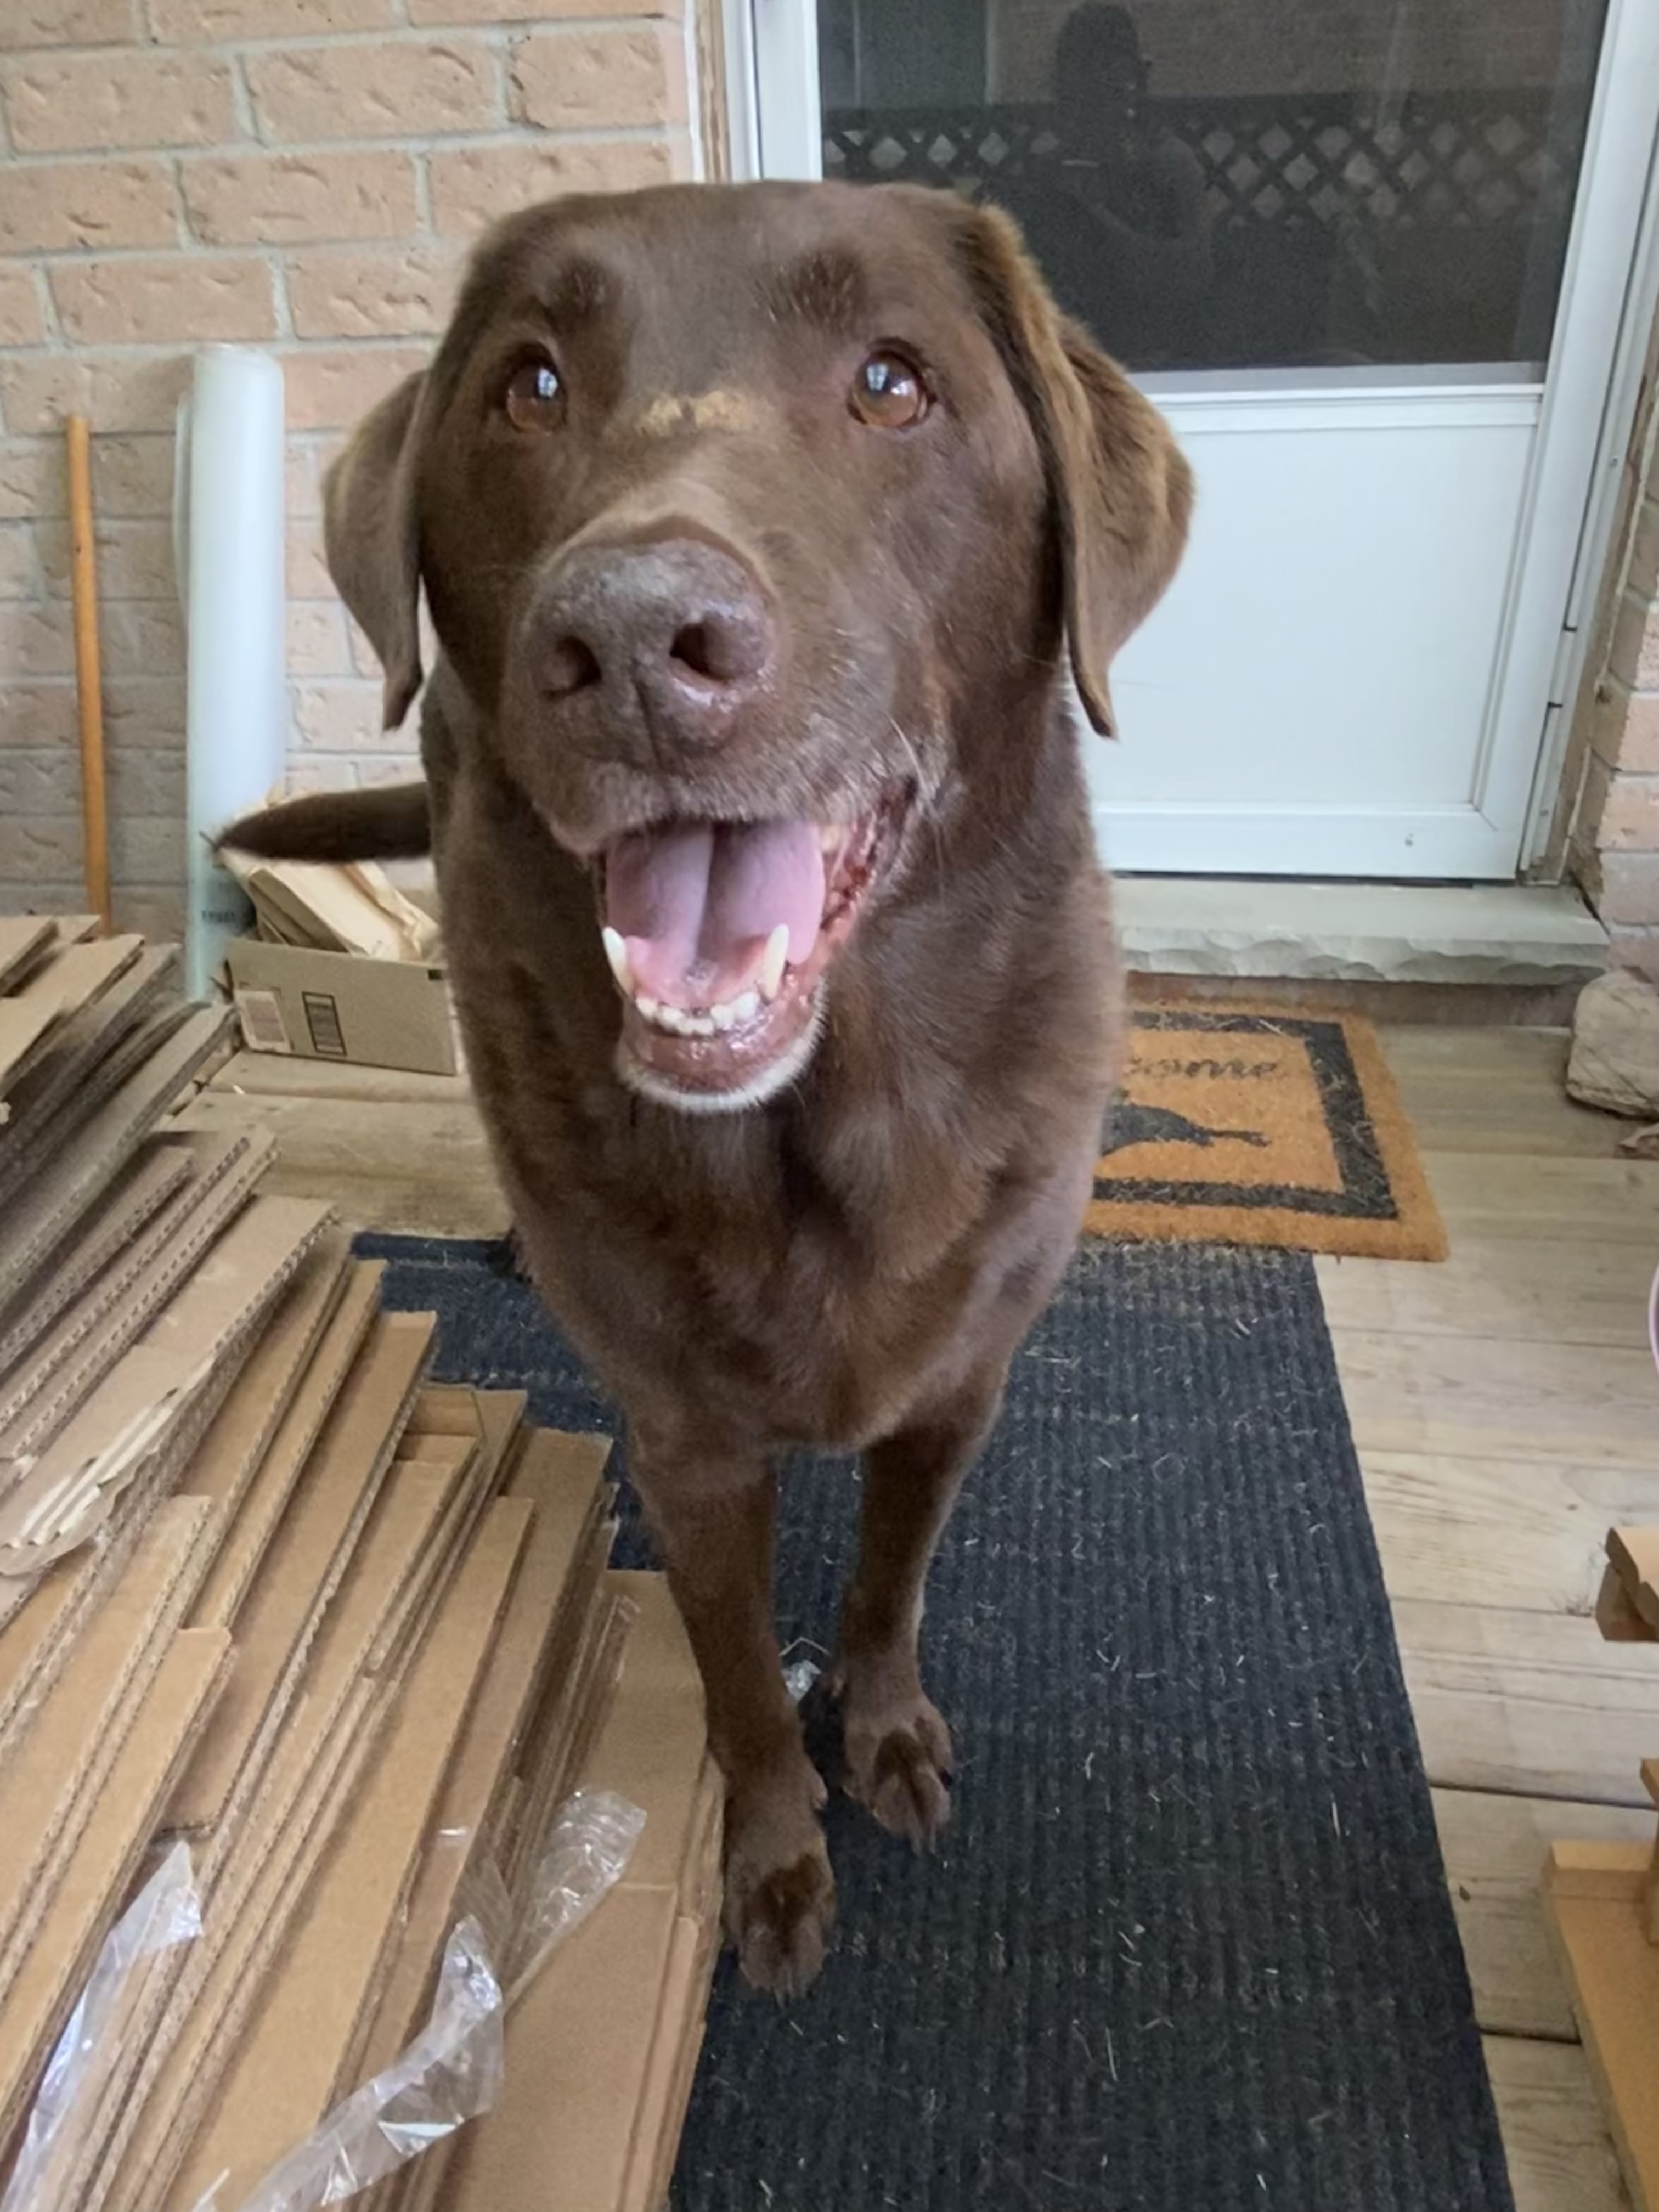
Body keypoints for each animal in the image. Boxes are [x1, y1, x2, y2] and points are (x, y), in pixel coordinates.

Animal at [222, 180, 1191, 1996]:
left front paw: (883, 1733)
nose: (628, 638)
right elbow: (740, 1680)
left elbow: (888, 1588)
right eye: (528, 388)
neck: (821, 1127)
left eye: (894, 382)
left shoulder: (959, 1387)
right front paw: (776, 1852)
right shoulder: (681, 1453)